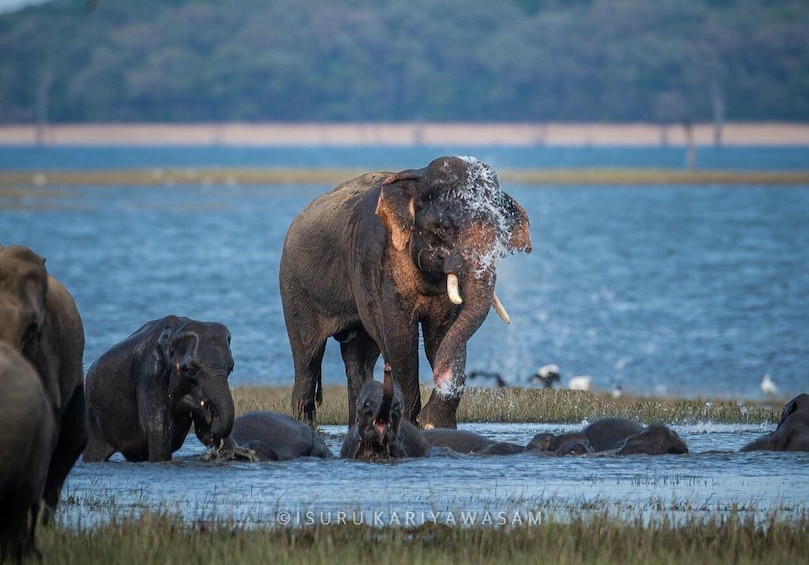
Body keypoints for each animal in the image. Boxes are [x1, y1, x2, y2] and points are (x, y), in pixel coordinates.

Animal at [83, 315, 236, 462]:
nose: (212, 416)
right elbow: (158, 429)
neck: (175, 332)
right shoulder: (150, 374)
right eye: (191, 370)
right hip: (94, 419)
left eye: (231, 368)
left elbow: (203, 432)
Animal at [280, 156, 531, 430]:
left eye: (499, 233)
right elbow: (399, 336)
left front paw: (436, 426)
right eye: (443, 228)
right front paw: (412, 424)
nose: (425, 419)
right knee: (307, 358)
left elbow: (443, 334)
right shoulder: (375, 260)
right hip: (294, 287)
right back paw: (304, 424)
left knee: (359, 358)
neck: (416, 181)